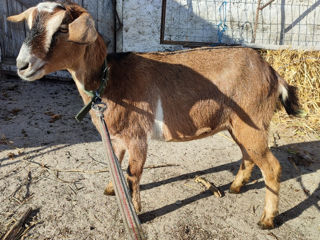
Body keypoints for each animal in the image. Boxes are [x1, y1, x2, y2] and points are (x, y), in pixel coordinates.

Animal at [8, 1, 302, 229]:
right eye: (30, 24)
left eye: (63, 28)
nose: (22, 66)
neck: (109, 80)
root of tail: (272, 73)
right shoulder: (116, 136)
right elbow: (116, 163)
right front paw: (112, 189)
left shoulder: (137, 136)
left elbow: (133, 173)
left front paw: (136, 211)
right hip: (237, 125)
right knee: (248, 156)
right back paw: (236, 187)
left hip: (252, 125)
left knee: (272, 167)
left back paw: (267, 220)